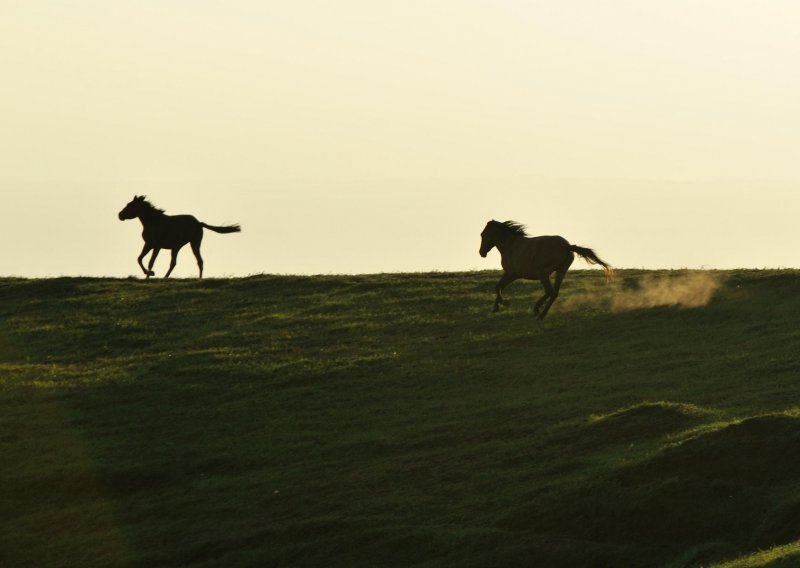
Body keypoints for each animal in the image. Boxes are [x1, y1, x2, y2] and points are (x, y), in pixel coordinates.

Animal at [482, 220, 612, 320]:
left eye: (483, 235)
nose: (481, 252)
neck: (511, 246)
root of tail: (567, 246)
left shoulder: (511, 274)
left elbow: (497, 287)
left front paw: (504, 303)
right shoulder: (510, 275)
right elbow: (499, 287)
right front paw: (496, 307)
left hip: (543, 274)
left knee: (549, 291)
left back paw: (537, 310)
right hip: (561, 271)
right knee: (554, 293)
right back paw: (542, 314)